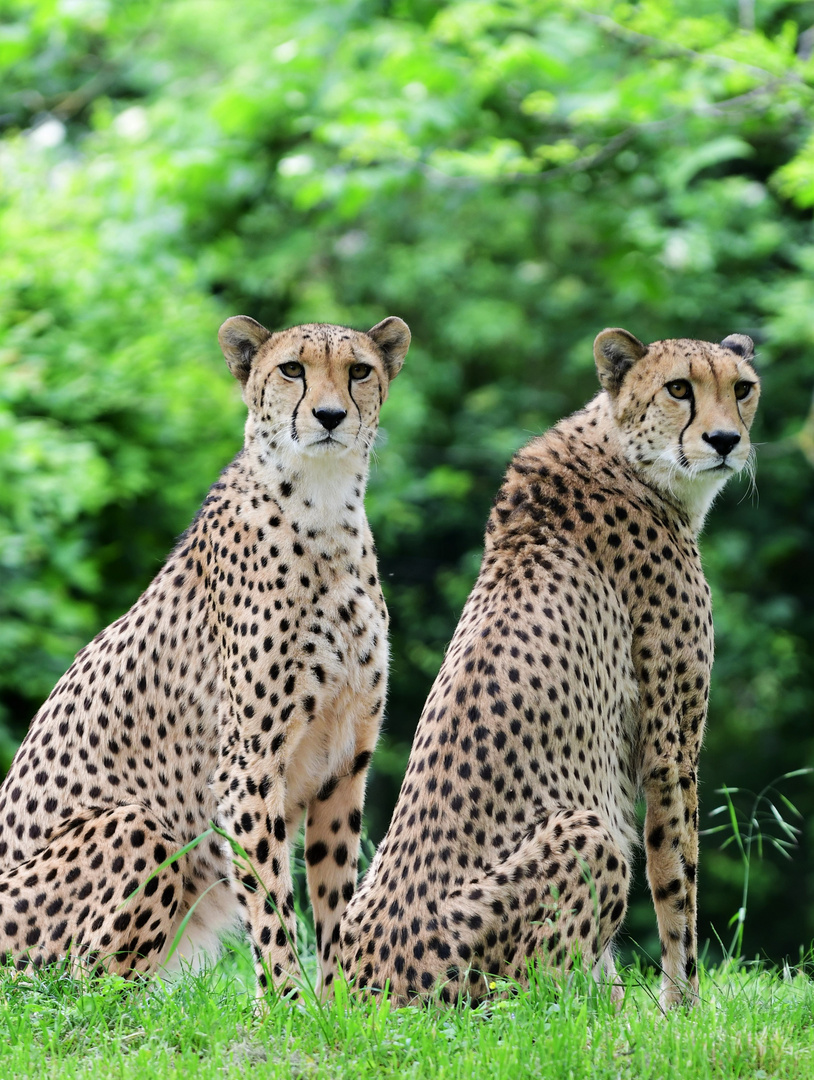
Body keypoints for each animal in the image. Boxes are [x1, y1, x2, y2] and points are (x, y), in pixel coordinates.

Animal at [0, 313, 408, 993]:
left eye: (359, 371)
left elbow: (334, 900)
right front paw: (289, 1004)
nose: (328, 415)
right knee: (74, 990)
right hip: (134, 829)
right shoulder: (246, 771)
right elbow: (271, 903)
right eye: (291, 369)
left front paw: (341, 1006)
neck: (325, 511)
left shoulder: (345, 763)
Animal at [338, 328, 760, 1010]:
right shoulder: (670, 744)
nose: (725, 440)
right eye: (679, 388)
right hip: (586, 836)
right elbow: (678, 881)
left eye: (742, 388)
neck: (628, 455)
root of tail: (356, 990)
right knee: (538, 1002)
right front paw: (683, 1010)